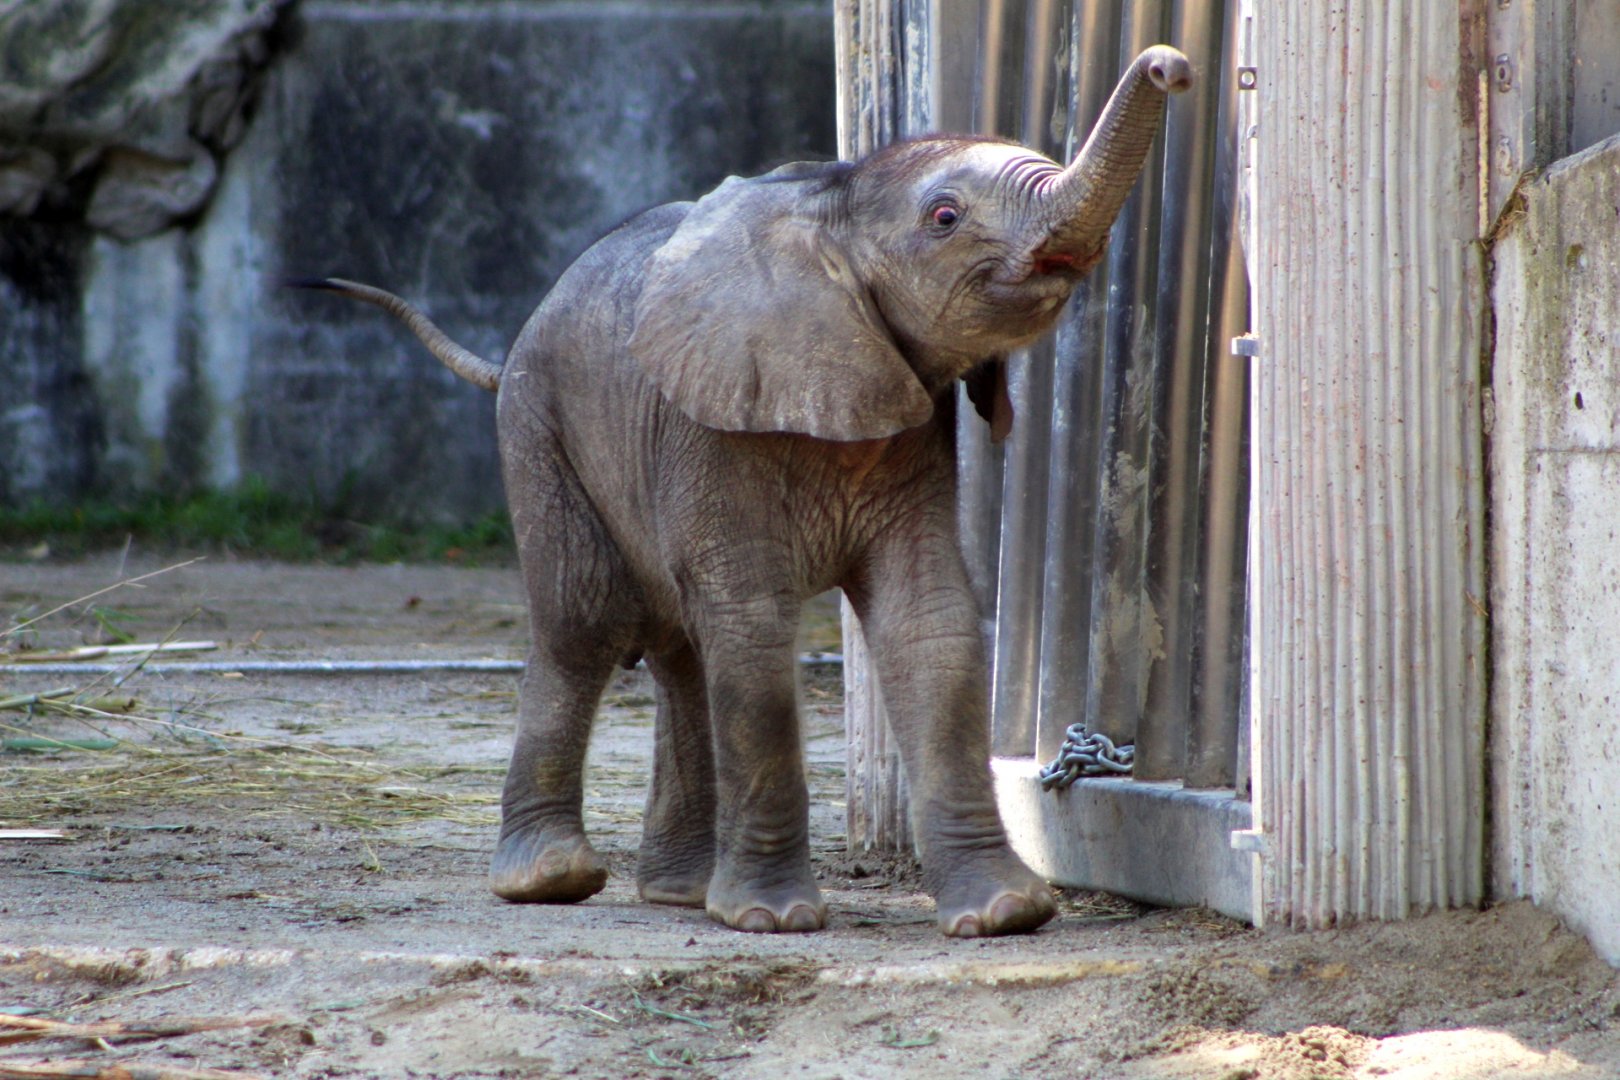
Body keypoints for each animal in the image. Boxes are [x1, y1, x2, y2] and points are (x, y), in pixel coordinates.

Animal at [295, 45, 1191, 936]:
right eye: (944, 218)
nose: (1171, 67)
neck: (830, 207)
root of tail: (514, 341)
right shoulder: (711, 426)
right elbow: (755, 628)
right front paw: (775, 919)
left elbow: (930, 625)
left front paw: (1004, 915)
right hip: (537, 429)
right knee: (582, 625)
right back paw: (553, 879)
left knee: (682, 648)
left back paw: (681, 894)